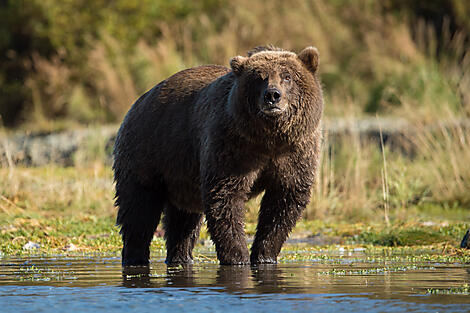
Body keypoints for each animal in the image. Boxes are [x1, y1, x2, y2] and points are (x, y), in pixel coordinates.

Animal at [114, 45, 324, 266]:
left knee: (183, 220)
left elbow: (283, 202)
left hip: (181, 175)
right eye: (259, 78)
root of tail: (137, 103)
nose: (273, 95)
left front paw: (265, 255)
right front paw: (237, 256)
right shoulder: (232, 147)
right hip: (147, 153)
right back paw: (136, 257)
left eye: (287, 76)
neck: (269, 139)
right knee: (139, 210)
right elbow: (226, 197)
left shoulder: (295, 153)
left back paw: (181, 257)